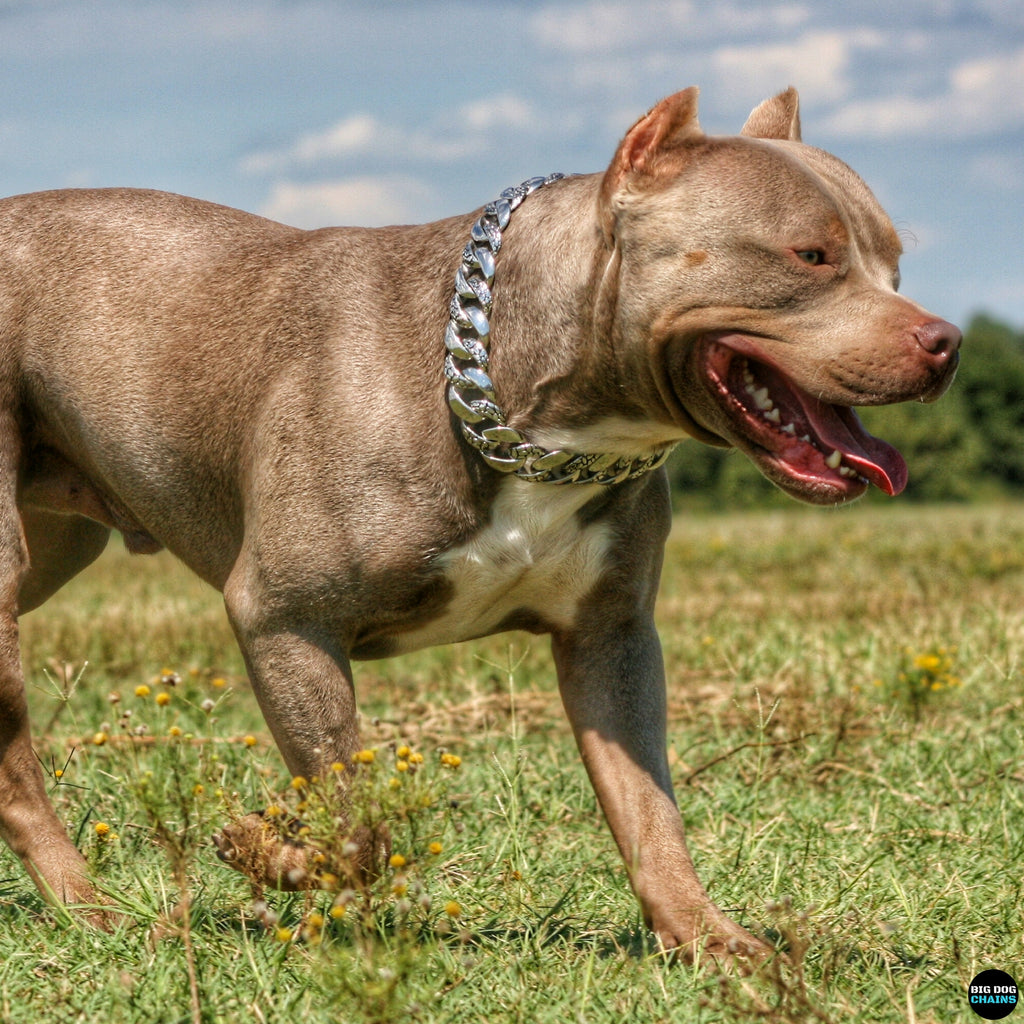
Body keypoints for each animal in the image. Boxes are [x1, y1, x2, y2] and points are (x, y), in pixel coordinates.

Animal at [0, 88, 958, 958]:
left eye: (895, 265)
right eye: (811, 256)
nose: (945, 340)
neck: (537, 421)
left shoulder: (611, 639)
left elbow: (649, 808)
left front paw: (708, 937)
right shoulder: (286, 619)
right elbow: (356, 822)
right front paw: (270, 854)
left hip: (54, 549)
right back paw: (91, 908)